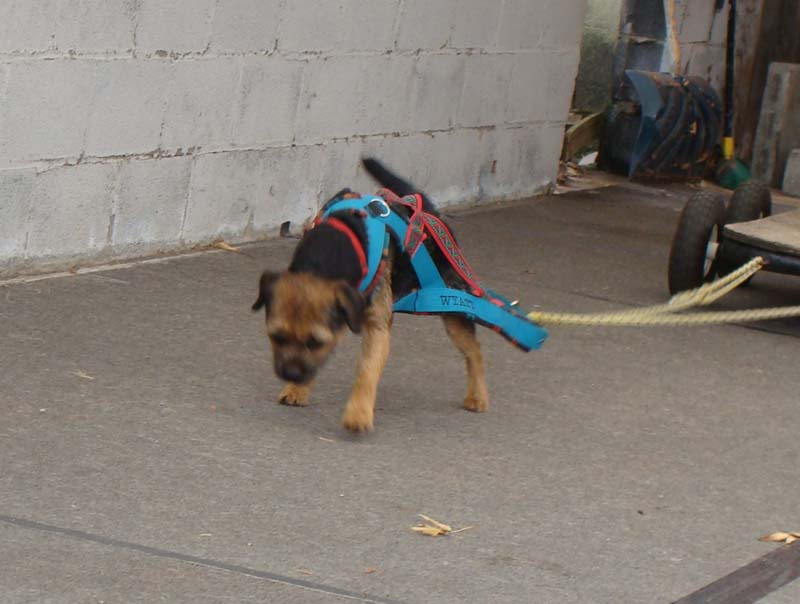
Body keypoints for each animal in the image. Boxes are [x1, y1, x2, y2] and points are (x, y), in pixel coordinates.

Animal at [252, 158, 488, 432]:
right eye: (276, 336)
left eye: (315, 342)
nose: (290, 375)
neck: (328, 253)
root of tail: (426, 210)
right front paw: (297, 389)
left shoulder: (376, 326)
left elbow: (367, 371)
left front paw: (358, 413)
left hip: (452, 303)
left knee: (474, 350)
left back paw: (478, 394)